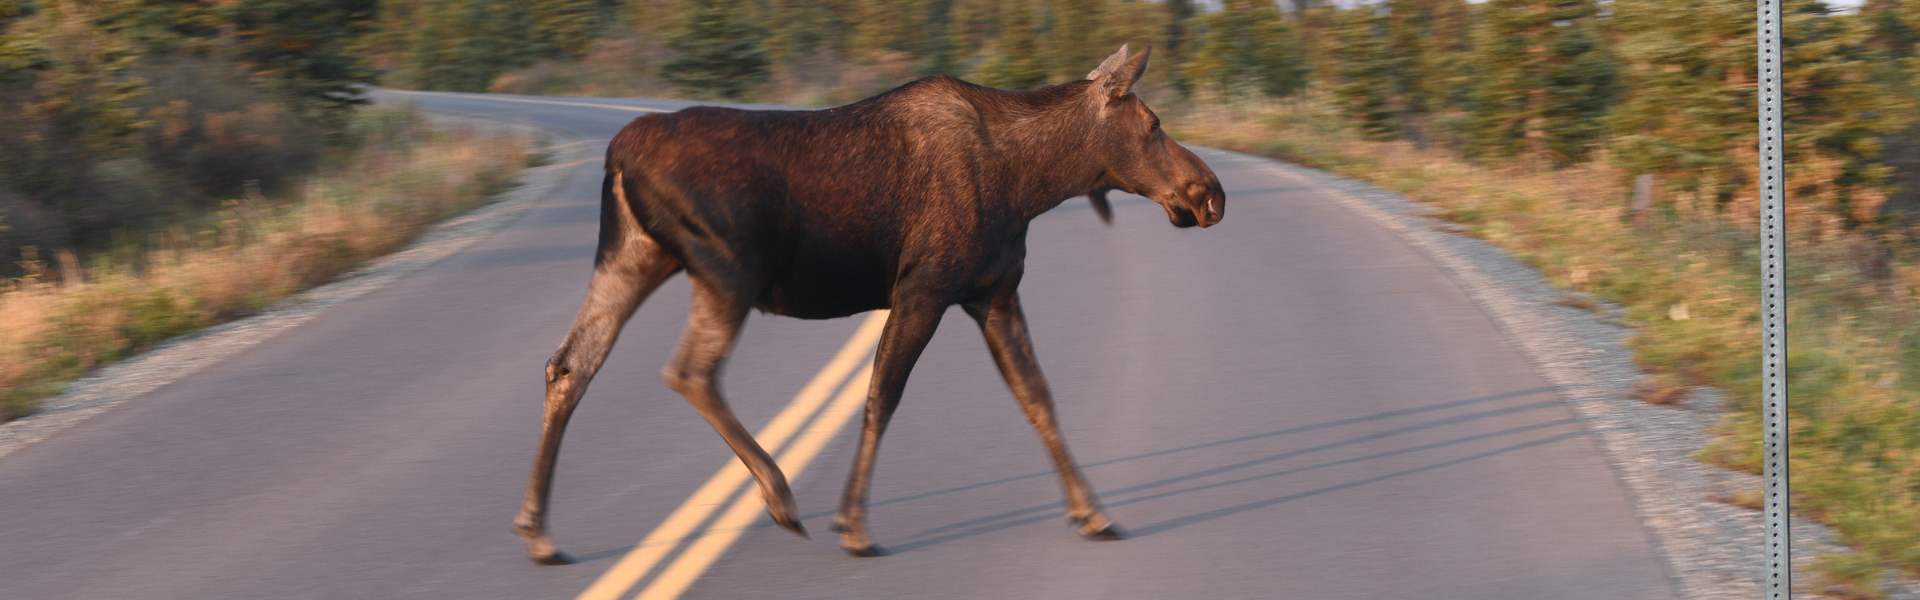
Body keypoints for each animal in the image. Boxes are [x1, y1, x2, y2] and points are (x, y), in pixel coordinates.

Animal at [513, 45, 1225, 563]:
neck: (1035, 181)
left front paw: (1093, 512)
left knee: (570, 364)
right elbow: (882, 396)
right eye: (1154, 125)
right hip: (727, 269)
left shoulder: (993, 293)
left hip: (634, 256)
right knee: (690, 370)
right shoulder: (924, 288)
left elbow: (1037, 397)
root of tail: (619, 152)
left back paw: (539, 529)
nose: (1209, 192)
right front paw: (853, 523)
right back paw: (780, 495)